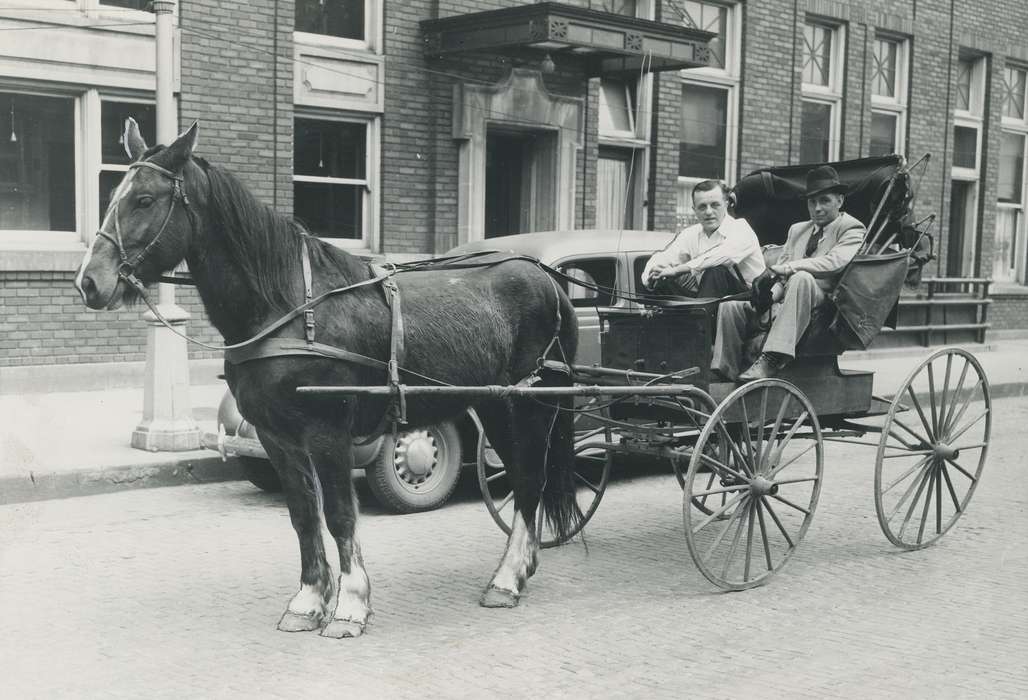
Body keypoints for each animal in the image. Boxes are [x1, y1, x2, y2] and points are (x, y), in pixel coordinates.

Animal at [75, 121, 583, 637]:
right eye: (113, 194)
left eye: (145, 200)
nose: (90, 281)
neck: (289, 306)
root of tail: (548, 279)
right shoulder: (277, 438)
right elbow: (303, 516)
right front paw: (308, 600)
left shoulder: (327, 433)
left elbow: (340, 516)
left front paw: (351, 605)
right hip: (493, 404)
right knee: (522, 478)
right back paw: (519, 569)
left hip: (532, 405)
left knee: (529, 481)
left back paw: (507, 578)